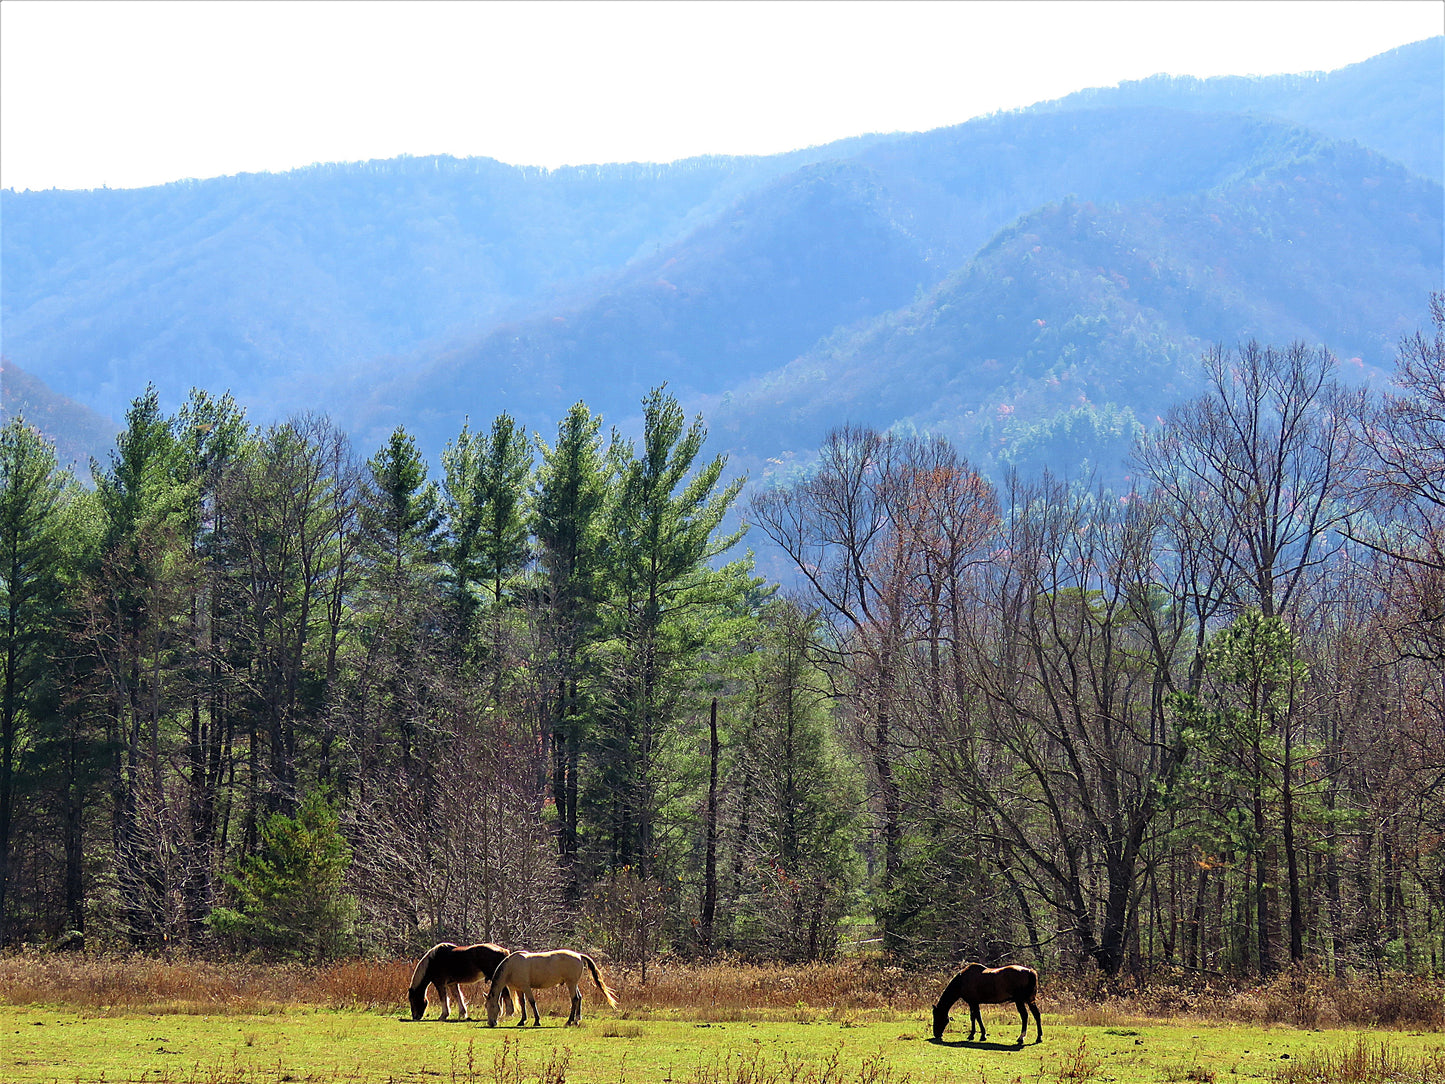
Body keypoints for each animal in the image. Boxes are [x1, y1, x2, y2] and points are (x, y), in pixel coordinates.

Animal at [488, 948, 618, 1029]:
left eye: (493, 1006)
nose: (491, 1023)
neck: (511, 966)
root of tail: (579, 956)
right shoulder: (520, 989)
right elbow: (523, 1003)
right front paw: (522, 1021)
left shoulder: (526, 987)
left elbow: (532, 1002)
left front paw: (537, 1021)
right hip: (573, 984)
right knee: (579, 998)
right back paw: (577, 1020)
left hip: (571, 983)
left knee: (575, 999)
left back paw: (569, 1021)